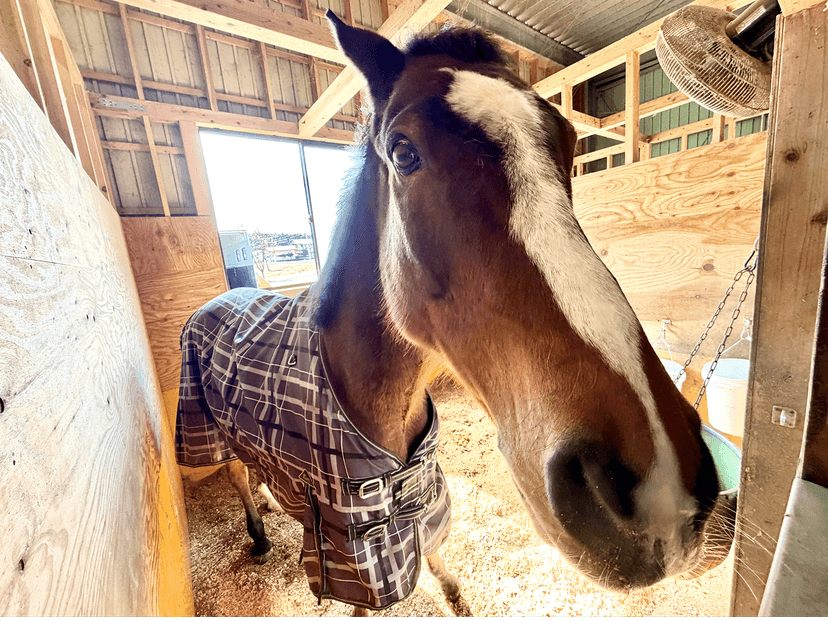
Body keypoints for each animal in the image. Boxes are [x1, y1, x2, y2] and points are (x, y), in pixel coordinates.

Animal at [175, 11, 733, 616]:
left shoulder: (421, 510)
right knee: (234, 472)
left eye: (566, 144)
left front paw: (457, 598)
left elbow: (439, 559)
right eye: (402, 153)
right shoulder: (354, 558)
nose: (660, 486)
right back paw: (257, 534)